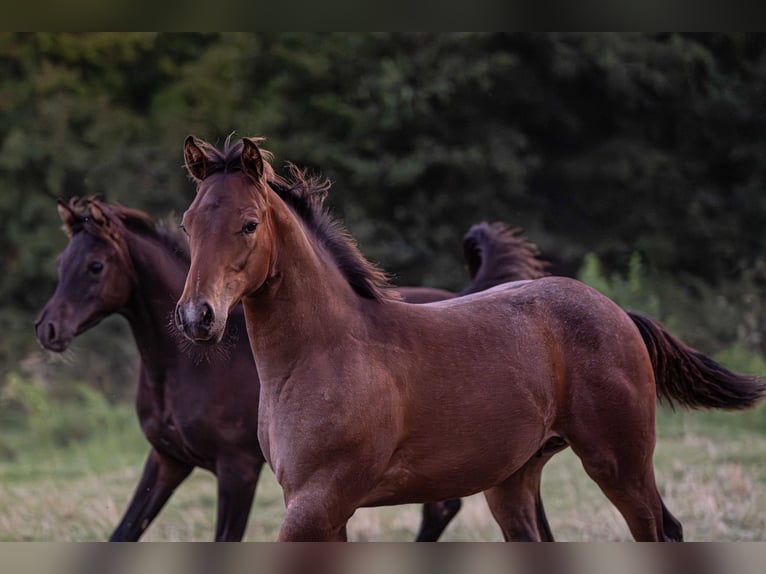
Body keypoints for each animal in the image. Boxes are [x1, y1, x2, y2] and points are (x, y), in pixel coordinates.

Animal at [34, 198, 541, 541]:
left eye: (95, 266)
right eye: (60, 262)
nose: (48, 328)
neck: (189, 368)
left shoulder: (238, 468)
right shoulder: (167, 459)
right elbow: (124, 531)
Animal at [175, 135, 766, 541]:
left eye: (249, 224)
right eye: (186, 223)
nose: (196, 316)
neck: (324, 353)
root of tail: (616, 312)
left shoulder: (318, 502)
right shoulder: (320, 507)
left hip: (619, 462)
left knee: (661, 531)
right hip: (514, 480)